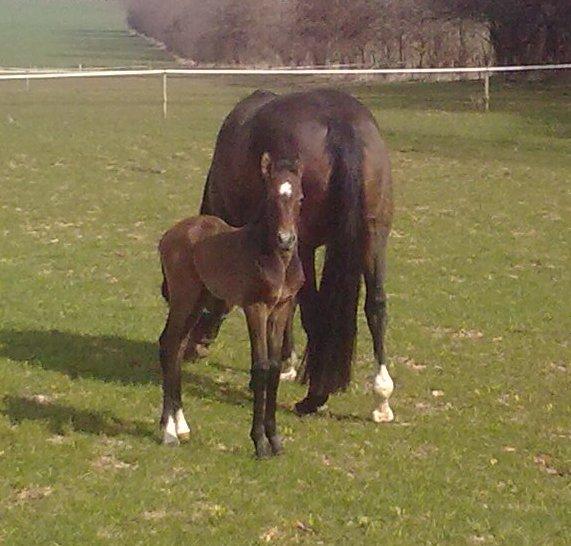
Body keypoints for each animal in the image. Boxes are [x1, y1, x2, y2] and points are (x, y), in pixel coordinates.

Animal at [159, 153, 306, 454]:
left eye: (300, 198)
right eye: (270, 196)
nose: (286, 240)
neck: (277, 262)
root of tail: (168, 235)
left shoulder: (281, 309)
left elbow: (275, 367)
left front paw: (275, 440)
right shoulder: (255, 307)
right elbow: (260, 367)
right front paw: (260, 442)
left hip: (197, 300)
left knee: (177, 346)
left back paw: (181, 426)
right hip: (183, 298)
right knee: (169, 345)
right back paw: (168, 432)